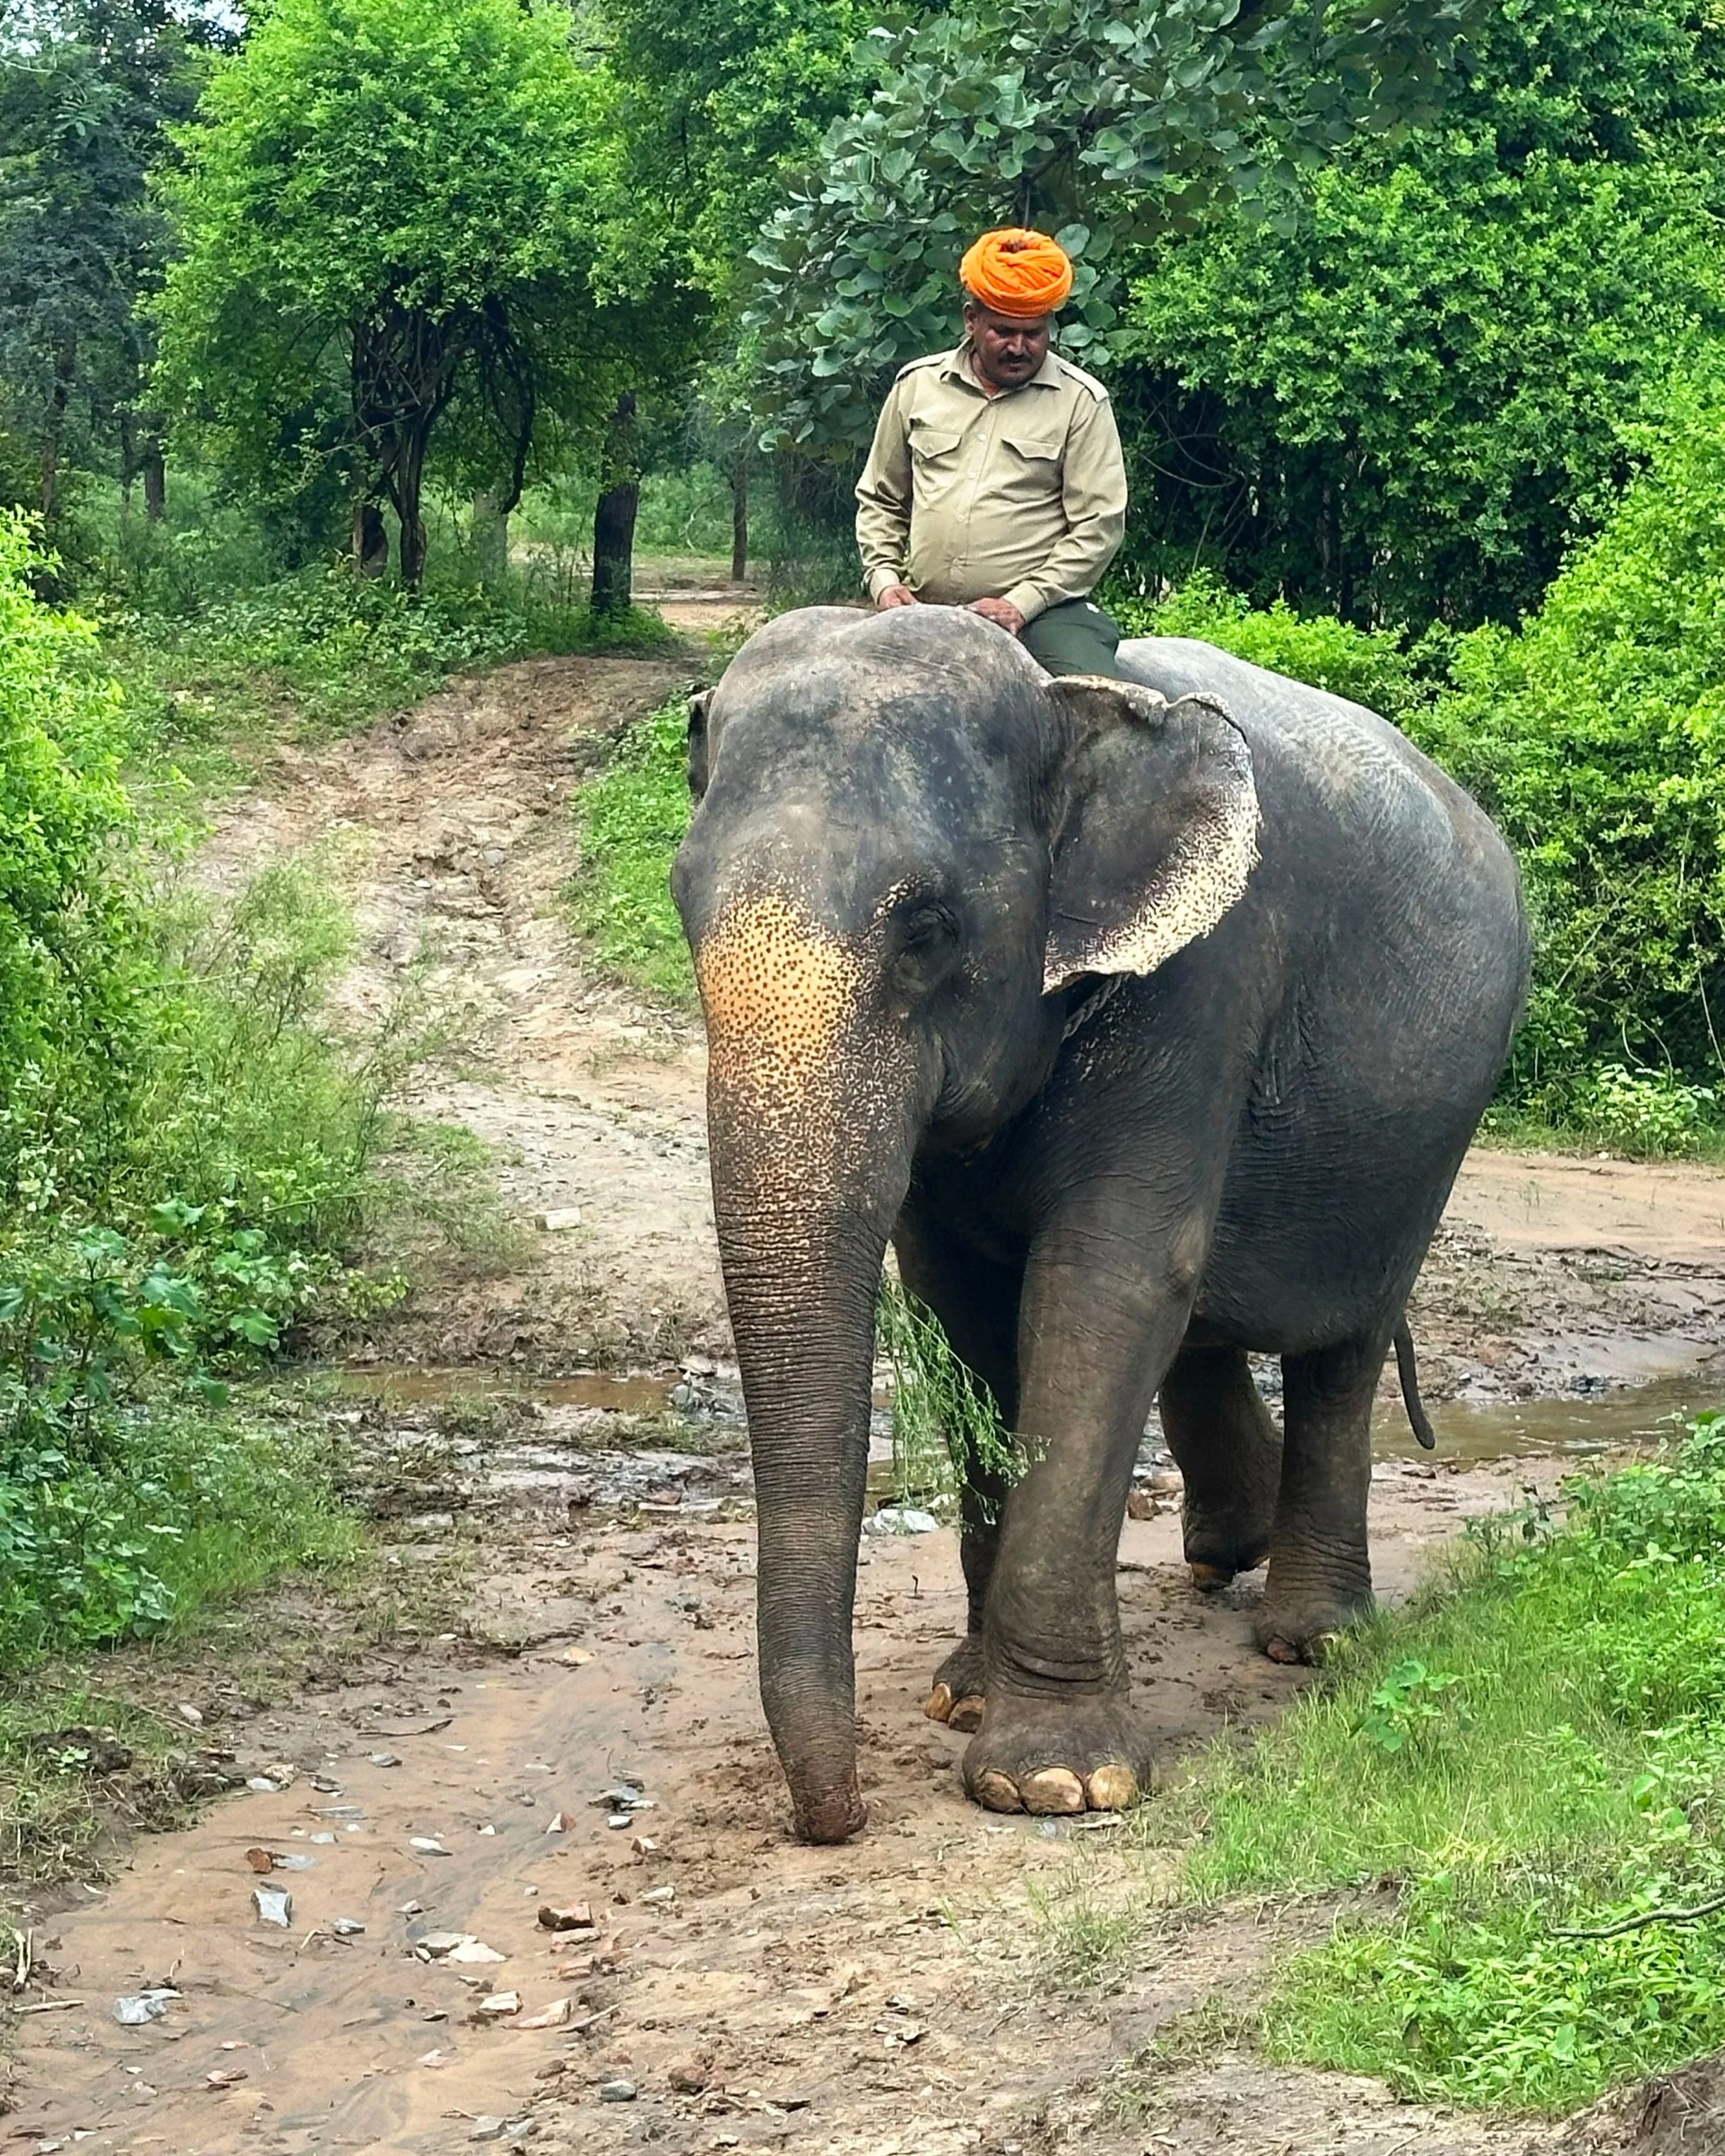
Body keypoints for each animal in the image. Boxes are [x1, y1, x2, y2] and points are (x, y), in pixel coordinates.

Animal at [671, 603, 1528, 1844]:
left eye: (926, 927)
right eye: (682, 900)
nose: (836, 1817)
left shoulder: (1199, 987)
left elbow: (1102, 1287)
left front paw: (1053, 1783)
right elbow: (964, 1306)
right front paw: (961, 1698)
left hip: (1435, 1124)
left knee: (1342, 1345)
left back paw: (1311, 1638)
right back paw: (1226, 1553)